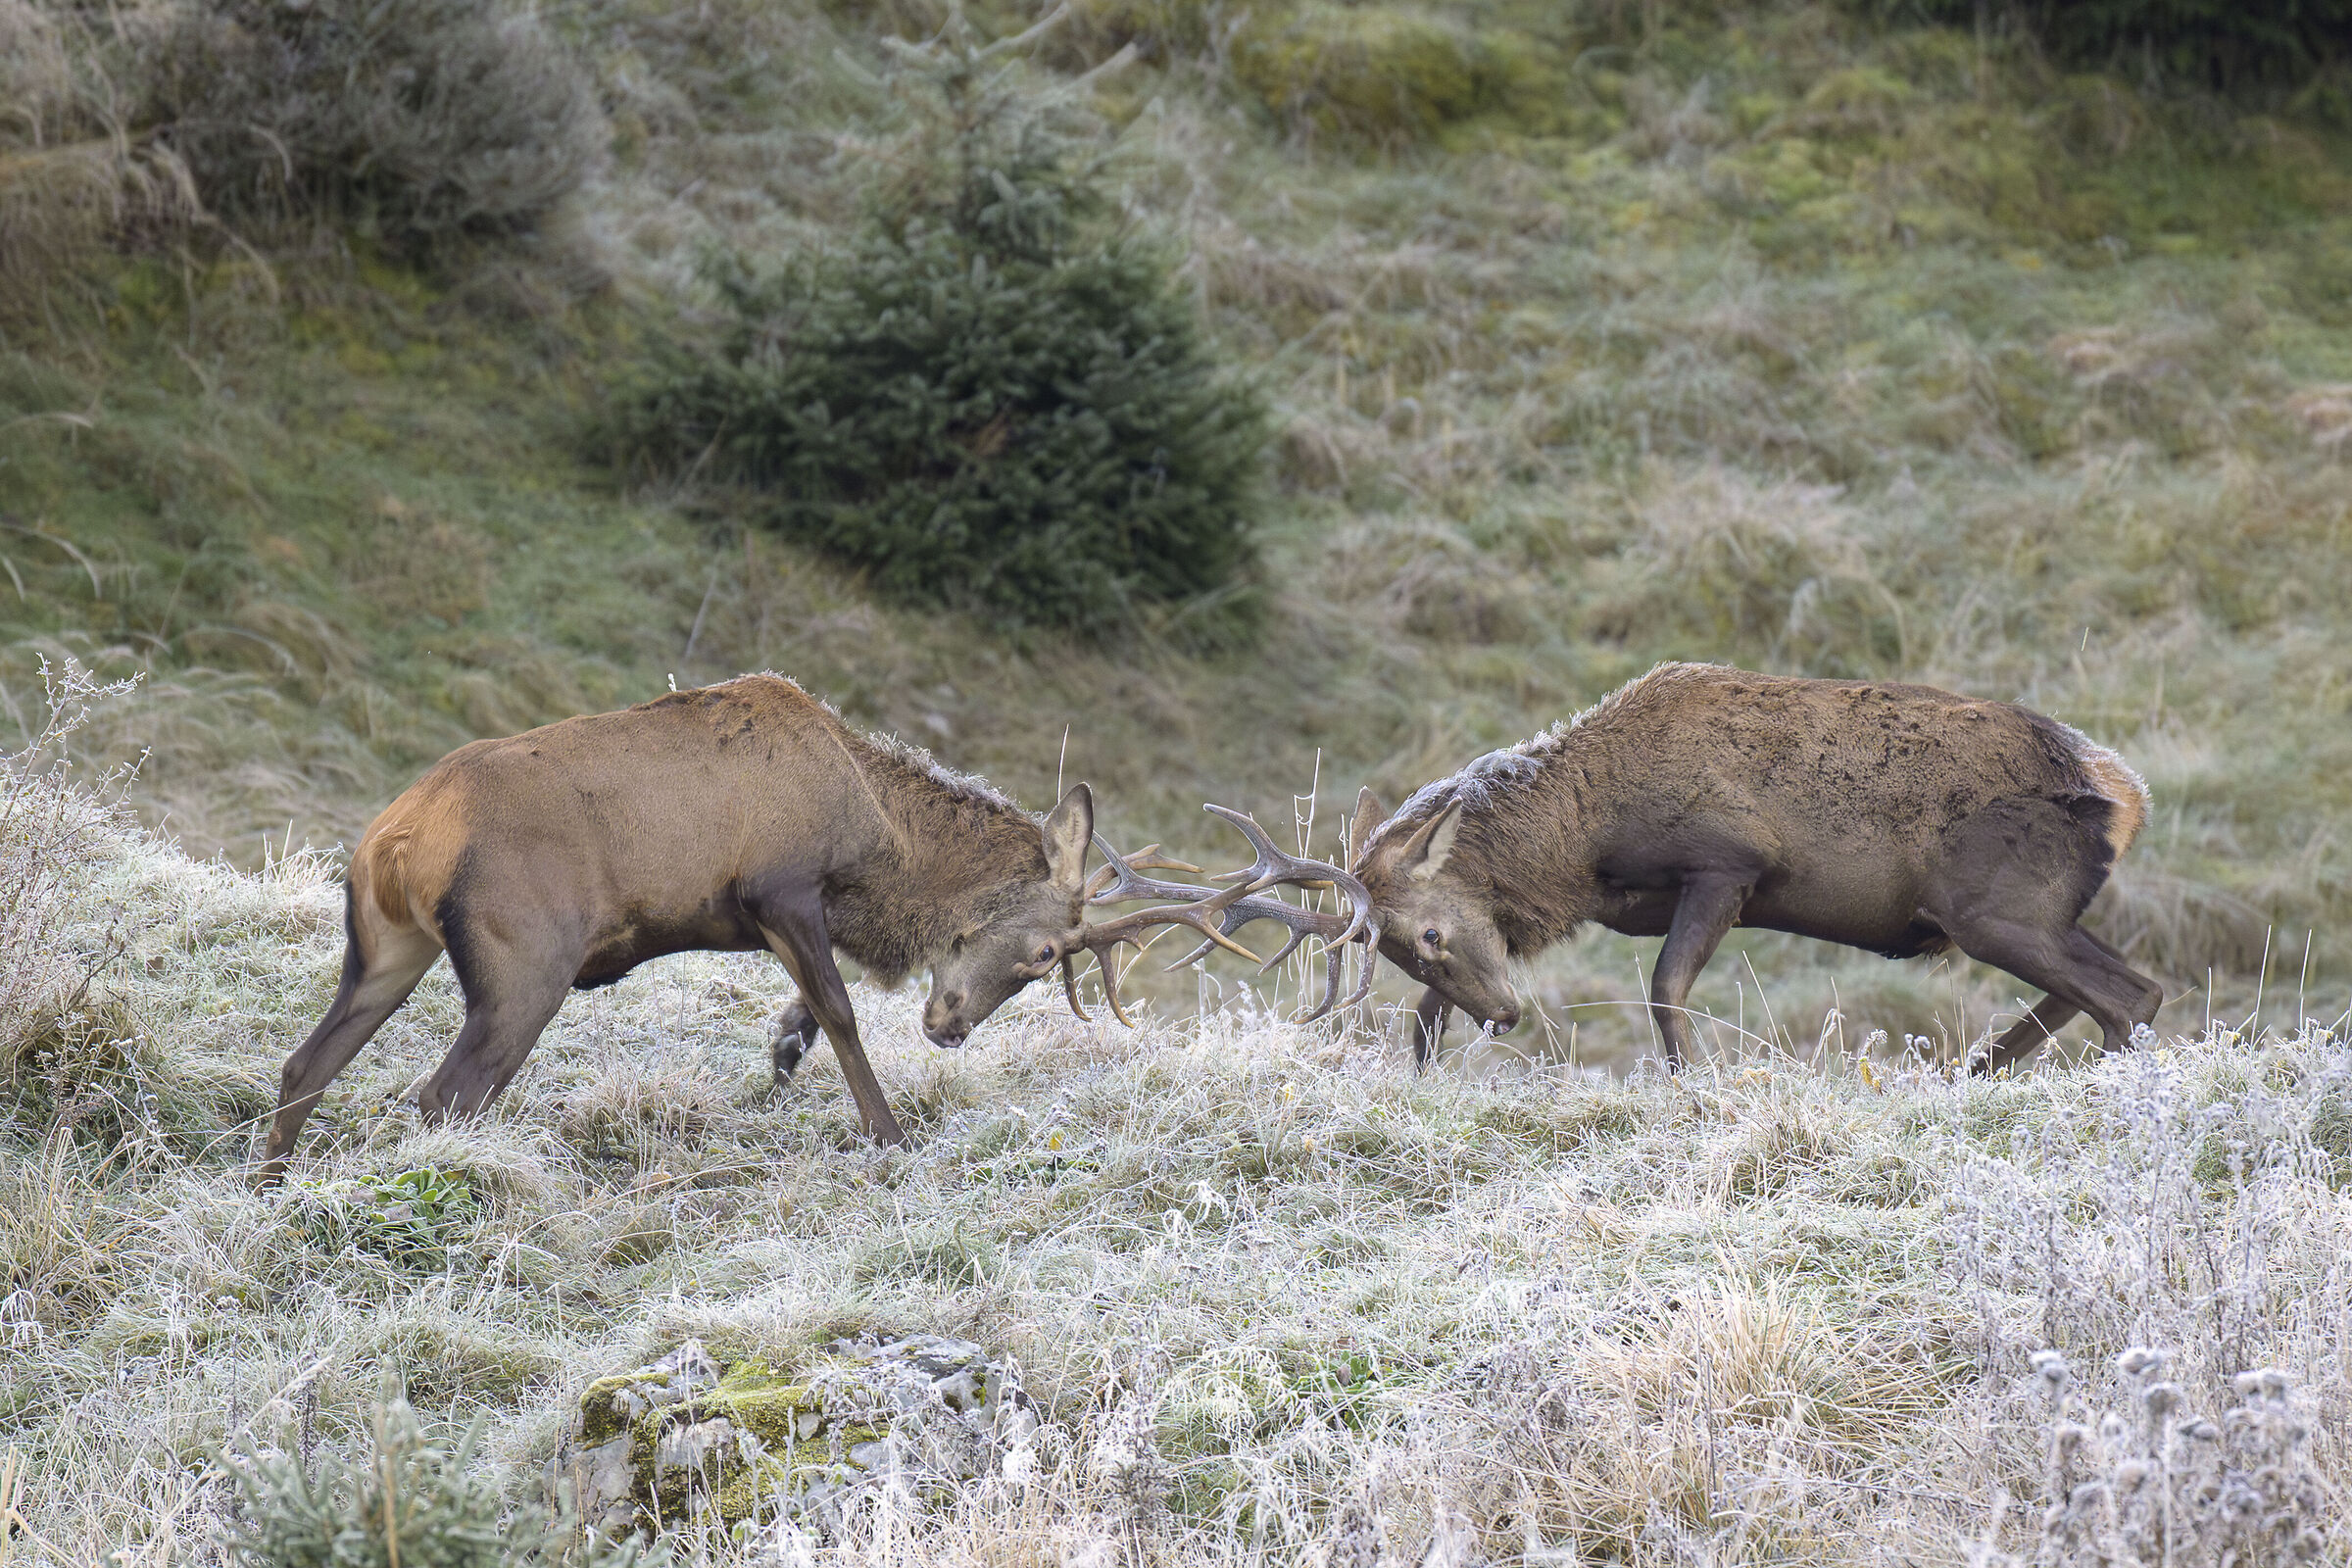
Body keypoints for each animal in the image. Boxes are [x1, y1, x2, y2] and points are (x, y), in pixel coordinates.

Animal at [262, 673, 1369, 1177]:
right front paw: (885, 1131)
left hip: (385, 946)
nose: (949, 1027)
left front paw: (784, 1051)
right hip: (521, 958)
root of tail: (398, 837)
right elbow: (839, 1005)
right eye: (1046, 952)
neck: (876, 843)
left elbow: (808, 1003)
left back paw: (272, 1190)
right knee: (441, 1094)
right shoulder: (779, 887)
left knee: (306, 1064)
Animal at [1230, 662, 2163, 1076]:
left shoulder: (1728, 862)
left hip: (1992, 906)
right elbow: (1425, 1019)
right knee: (2124, 986)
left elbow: (1665, 986)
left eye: (1426, 932)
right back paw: (1975, 1070)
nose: (1504, 1015)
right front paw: (1420, 1077)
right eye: (1397, 952)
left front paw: (1692, 1085)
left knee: (2122, 996)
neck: (1584, 845)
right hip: (2028, 912)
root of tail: (2126, 795)